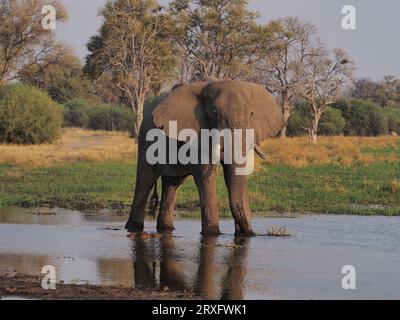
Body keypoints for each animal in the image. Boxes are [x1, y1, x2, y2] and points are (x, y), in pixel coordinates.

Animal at [125, 79, 284, 236]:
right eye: (214, 112)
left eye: (251, 114)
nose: (251, 234)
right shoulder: (197, 132)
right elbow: (206, 175)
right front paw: (212, 234)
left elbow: (231, 175)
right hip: (145, 138)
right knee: (146, 180)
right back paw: (134, 228)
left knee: (172, 184)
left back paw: (166, 229)